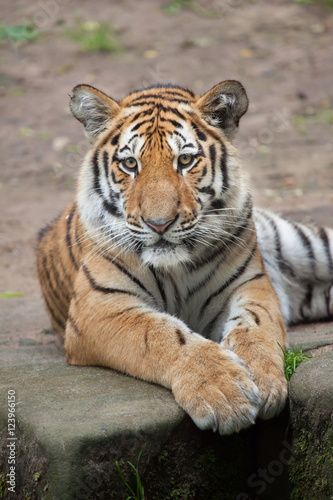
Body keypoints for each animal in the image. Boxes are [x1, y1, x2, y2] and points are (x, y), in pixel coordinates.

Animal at [36, 80, 332, 436]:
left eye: (186, 160)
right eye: (130, 164)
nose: (159, 224)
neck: (175, 268)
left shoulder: (251, 284)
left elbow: (256, 327)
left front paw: (263, 379)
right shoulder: (99, 308)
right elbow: (160, 334)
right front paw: (223, 391)